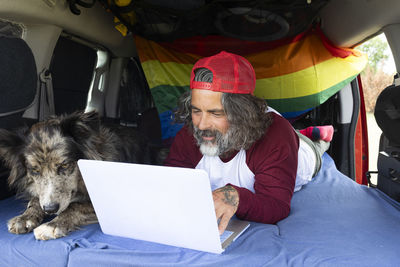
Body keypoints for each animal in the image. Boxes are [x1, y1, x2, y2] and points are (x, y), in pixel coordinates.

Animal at [0, 111, 163, 241]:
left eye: (65, 165)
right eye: (34, 170)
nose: (50, 210)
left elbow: (75, 206)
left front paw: (52, 225)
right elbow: (35, 200)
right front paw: (24, 217)